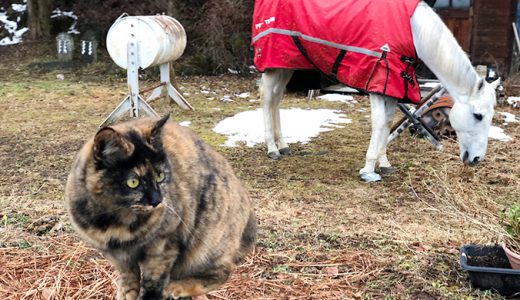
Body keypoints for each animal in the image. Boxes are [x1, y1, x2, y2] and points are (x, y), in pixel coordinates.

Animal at [65, 113, 256, 298]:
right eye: (133, 182)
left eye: (160, 176)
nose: (157, 200)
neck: (116, 223)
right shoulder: (118, 257)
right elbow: (128, 278)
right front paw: (127, 293)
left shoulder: (163, 247)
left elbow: (153, 284)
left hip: (207, 241)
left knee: (223, 272)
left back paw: (176, 288)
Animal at [258, 1, 500, 183]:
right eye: (478, 115)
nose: (476, 159)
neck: (412, 30)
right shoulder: (377, 82)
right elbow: (379, 121)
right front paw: (368, 170)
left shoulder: (394, 86)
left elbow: (388, 122)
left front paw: (383, 164)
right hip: (272, 64)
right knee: (267, 98)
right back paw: (272, 148)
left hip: (287, 64)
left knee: (277, 99)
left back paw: (283, 146)